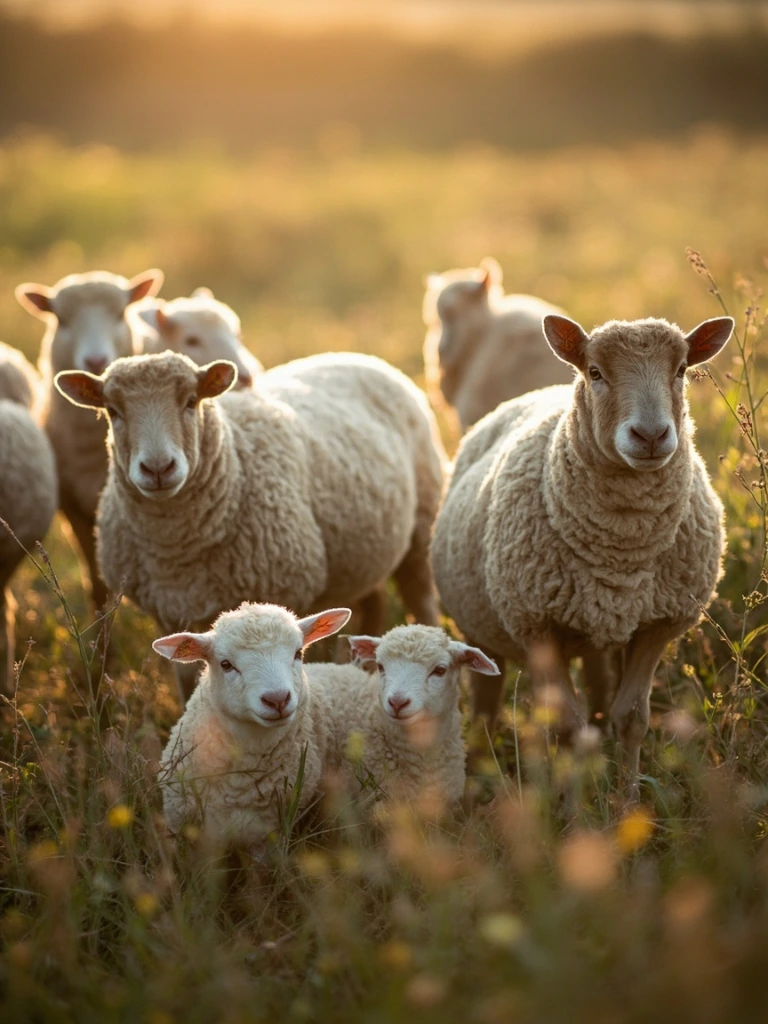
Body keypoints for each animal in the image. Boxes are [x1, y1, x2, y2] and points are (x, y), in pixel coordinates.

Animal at [54, 350, 446, 700]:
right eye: (112, 410)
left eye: (191, 401)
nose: (158, 468)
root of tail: (358, 355)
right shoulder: (172, 617)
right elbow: (188, 687)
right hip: (359, 555)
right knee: (372, 602)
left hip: (421, 528)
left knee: (421, 599)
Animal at [431, 313, 734, 796]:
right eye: (595, 373)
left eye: (682, 369)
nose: (651, 435)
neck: (622, 546)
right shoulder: (538, 626)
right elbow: (569, 729)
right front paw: (574, 807)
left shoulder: (658, 625)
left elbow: (630, 719)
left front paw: (627, 801)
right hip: (482, 624)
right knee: (485, 701)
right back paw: (478, 771)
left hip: (597, 632)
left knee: (598, 693)